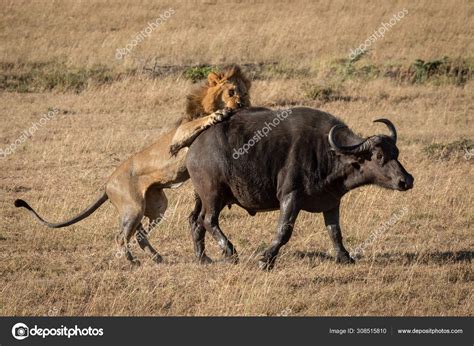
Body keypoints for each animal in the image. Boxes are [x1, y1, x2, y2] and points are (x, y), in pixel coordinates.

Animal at [13, 64, 252, 264]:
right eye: (231, 92)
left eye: (244, 93)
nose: (242, 104)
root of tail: (107, 185)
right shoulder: (179, 135)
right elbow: (199, 123)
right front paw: (219, 114)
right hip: (133, 207)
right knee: (121, 236)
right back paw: (131, 260)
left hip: (156, 206)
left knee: (140, 234)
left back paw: (157, 258)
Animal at [183, 107, 412, 268]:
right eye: (379, 156)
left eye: (396, 152)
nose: (406, 180)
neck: (328, 154)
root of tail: (194, 147)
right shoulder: (290, 197)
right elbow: (284, 231)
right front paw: (266, 260)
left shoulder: (331, 202)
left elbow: (335, 231)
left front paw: (345, 257)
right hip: (214, 195)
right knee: (208, 220)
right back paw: (230, 251)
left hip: (202, 197)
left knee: (195, 220)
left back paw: (203, 258)